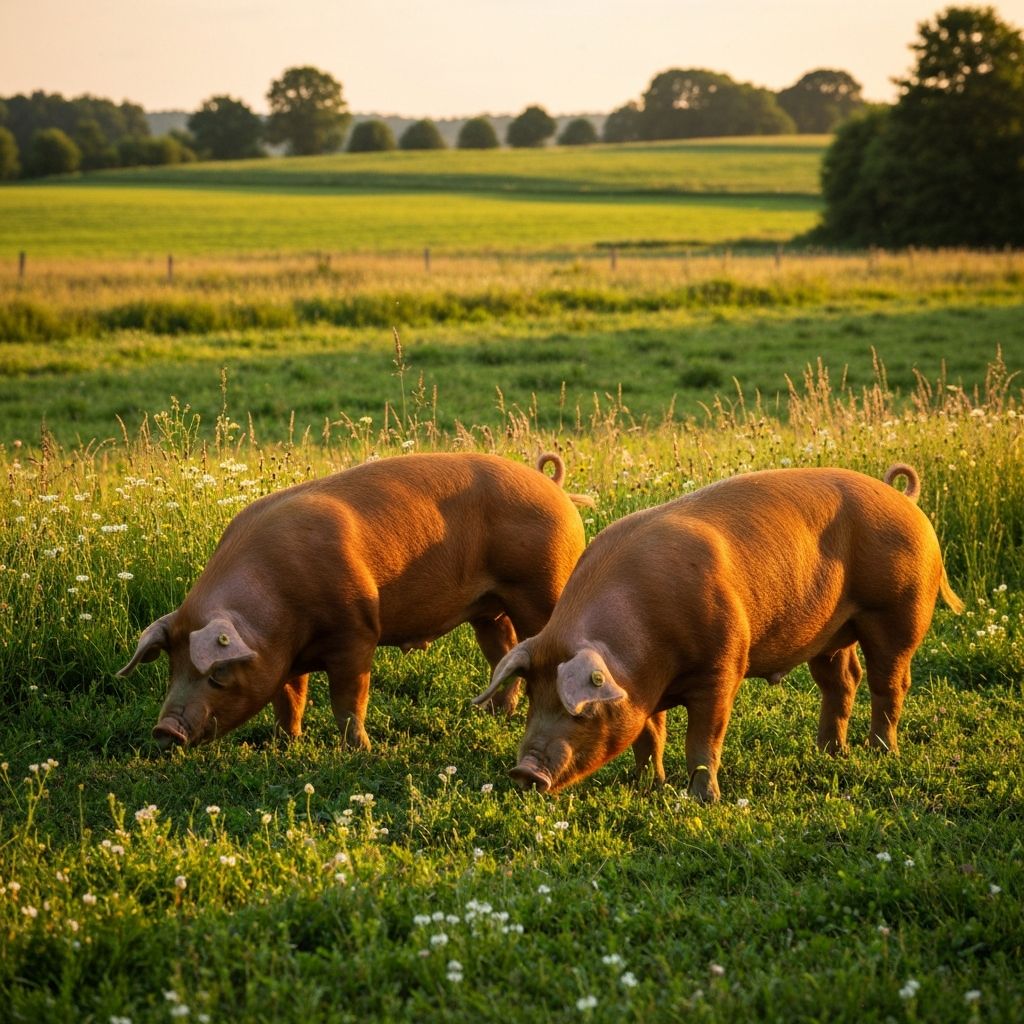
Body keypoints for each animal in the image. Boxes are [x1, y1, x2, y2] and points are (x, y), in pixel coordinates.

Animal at [118, 452, 589, 751]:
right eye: (172, 668)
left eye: (217, 674)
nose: (165, 731)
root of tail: (554, 486)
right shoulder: (280, 656)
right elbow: (289, 698)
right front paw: (287, 743)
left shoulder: (357, 632)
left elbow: (348, 698)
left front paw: (359, 750)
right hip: (490, 608)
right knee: (504, 651)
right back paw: (492, 714)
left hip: (541, 588)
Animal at [474, 463, 963, 802]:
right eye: (533, 697)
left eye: (581, 710)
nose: (525, 772)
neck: (644, 654)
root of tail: (907, 501)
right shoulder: (640, 689)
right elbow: (650, 735)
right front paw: (646, 786)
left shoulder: (723, 667)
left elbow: (703, 738)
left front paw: (702, 800)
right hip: (830, 631)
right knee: (843, 681)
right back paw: (829, 752)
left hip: (897, 613)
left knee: (890, 683)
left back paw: (880, 752)